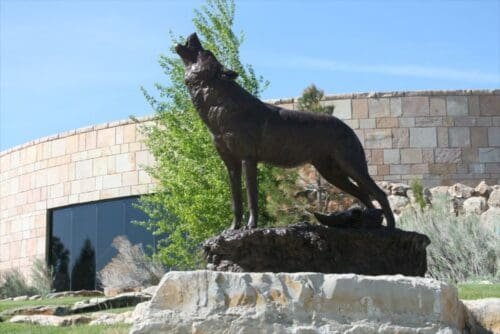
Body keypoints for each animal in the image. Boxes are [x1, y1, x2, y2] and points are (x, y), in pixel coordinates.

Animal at [176, 33, 394, 230]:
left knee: (379, 194)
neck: (219, 107)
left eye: (206, 52)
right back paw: (368, 224)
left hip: (350, 167)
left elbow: (252, 197)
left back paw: (390, 227)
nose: (193, 34)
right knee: (364, 195)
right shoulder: (231, 165)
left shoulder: (248, 160)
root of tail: (348, 128)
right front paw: (233, 229)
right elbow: (236, 201)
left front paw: (251, 226)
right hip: (332, 173)